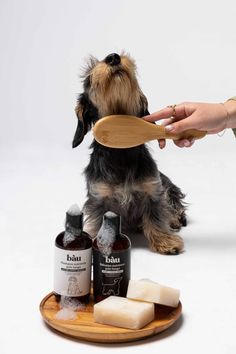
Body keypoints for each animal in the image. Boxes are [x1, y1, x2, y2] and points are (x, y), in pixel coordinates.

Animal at [73, 52, 187, 254]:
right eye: (88, 77)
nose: (113, 57)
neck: (122, 149)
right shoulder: (98, 198)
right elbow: (97, 221)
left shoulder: (152, 190)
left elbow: (156, 217)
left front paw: (165, 241)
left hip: (167, 185)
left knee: (172, 205)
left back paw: (173, 219)